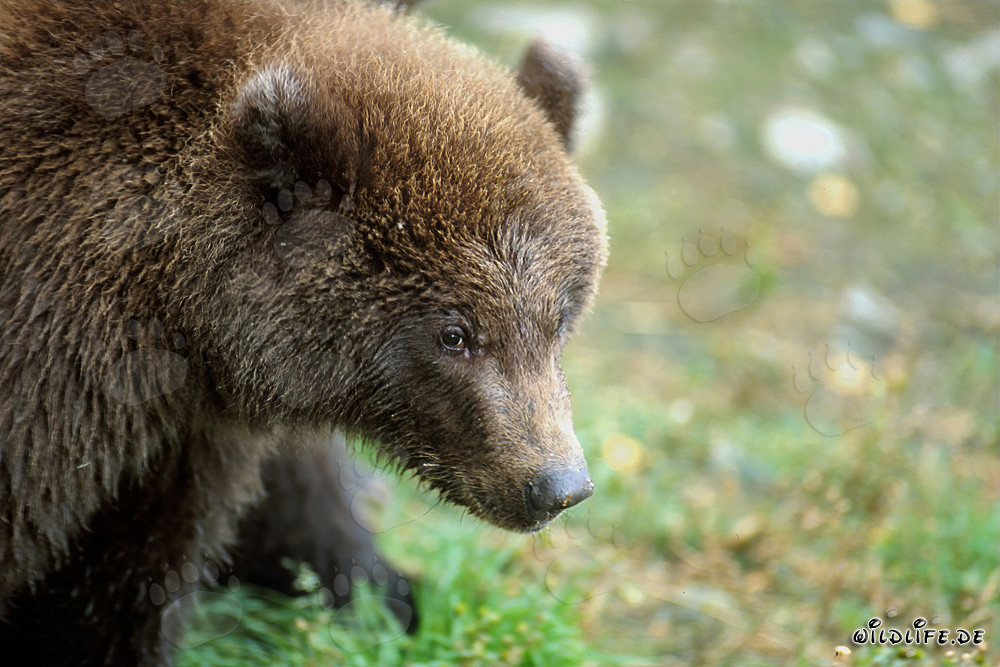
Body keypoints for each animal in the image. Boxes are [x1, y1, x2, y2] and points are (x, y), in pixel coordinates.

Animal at [0, 0, 607, 664]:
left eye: (558, 318)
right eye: (455, 334)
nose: (557, 485)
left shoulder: (181, 442)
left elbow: (130, 582)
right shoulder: (47, 366)